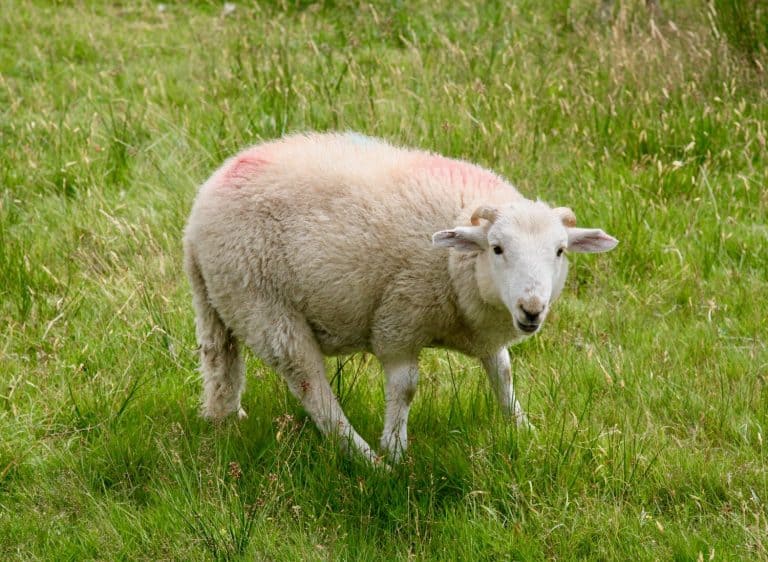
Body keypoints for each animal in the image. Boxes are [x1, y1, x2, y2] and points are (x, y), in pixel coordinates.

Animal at [183, 132, 618, 464]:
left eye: (559, 251)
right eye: (496, 248)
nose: (532, 310)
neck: (453, 264)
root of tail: (199, 208)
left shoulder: (481, 330)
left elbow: (503, 373)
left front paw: (524, 428)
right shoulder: (398, 319)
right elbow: (406, 386)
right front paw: (394, 448)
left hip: (218, 301)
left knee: (220, 362)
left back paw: (225, 419)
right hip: (266, 307)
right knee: (312, 389)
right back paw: (367, 460)